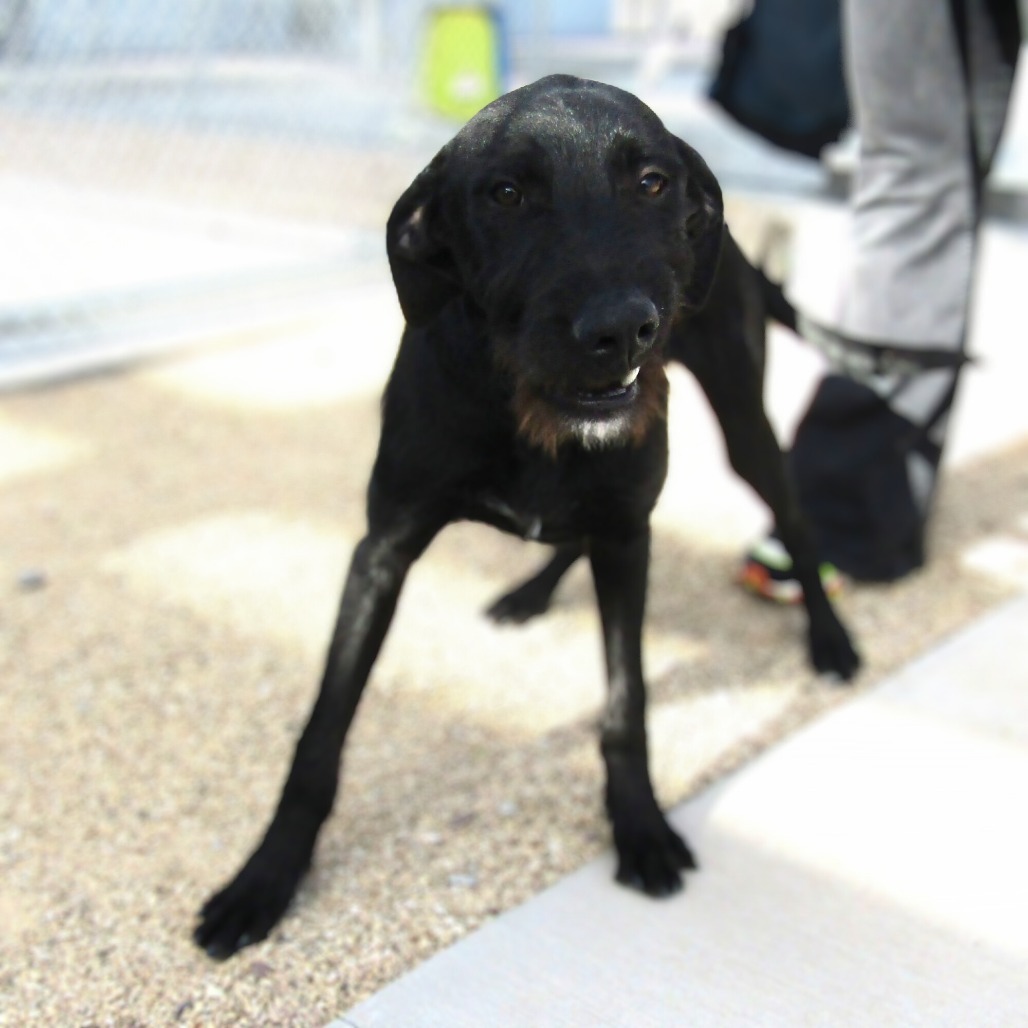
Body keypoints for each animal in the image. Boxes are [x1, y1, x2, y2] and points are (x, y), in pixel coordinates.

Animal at [194, 76, 859, 958]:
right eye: (506, 194)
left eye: (653, 181)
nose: (621, 329)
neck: (530, 412)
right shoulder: (385, 547)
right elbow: (322, 733)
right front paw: (266, 877)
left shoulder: (628, 534)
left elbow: (625, 703)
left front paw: (640, 826)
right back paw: (531, 592)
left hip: (743, 425)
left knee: (795, 519)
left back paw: (830, 637)